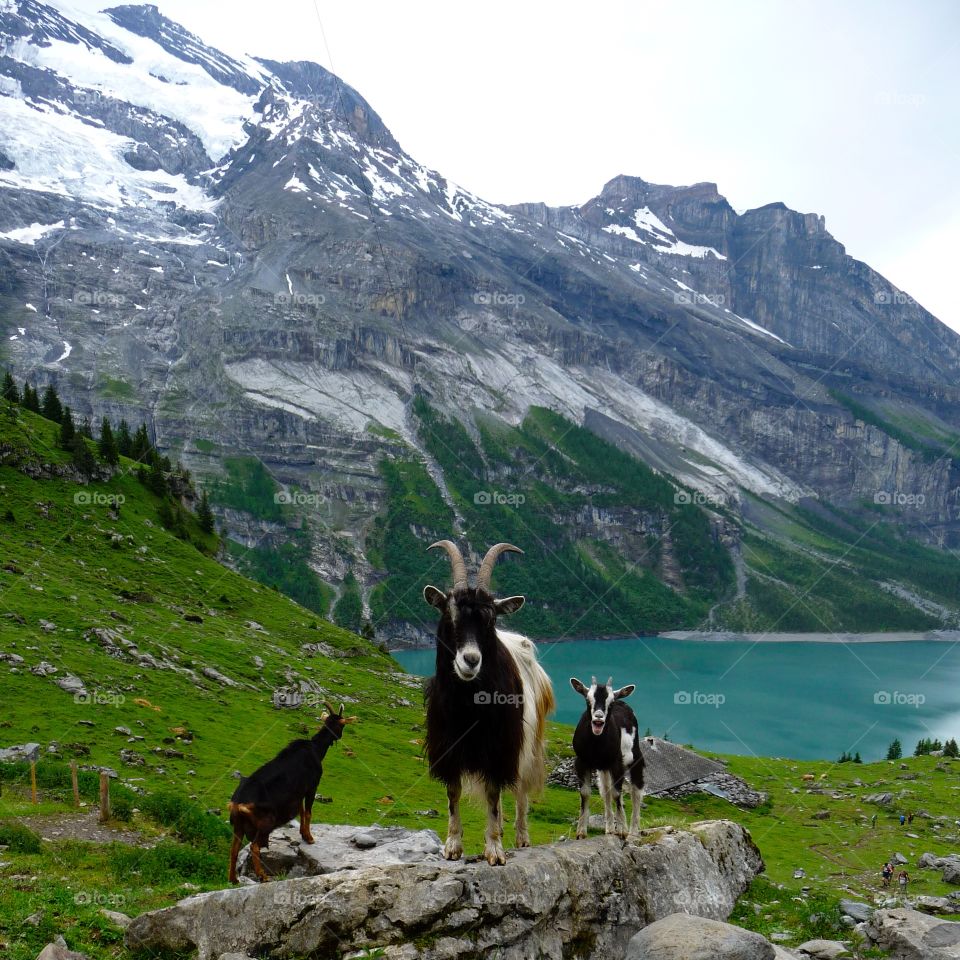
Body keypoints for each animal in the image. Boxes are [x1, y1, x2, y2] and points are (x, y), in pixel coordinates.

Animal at [227, 703, 356, 883]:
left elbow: (301, 811)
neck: (316, 749)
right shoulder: (312, 787)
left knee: (234, 849)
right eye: (342, 725)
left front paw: (303, 834)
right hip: (266, 822)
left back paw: (234, 879)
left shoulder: (298, 793)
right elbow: (308, 812)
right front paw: (309, 838)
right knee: (254, 846)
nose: (339, 736)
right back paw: (263, 876)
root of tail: (238, 804)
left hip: (238, 825)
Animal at [423, 540, 555, 865]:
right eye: (449, 616)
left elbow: (495, 795)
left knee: (520, 790)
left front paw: (494, 849)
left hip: (527, 745)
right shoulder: (449, 748)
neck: (469, 705)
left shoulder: (499, 747)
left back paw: (521, 837)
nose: (470, 660)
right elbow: (454, 794)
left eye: (490, 619)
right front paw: (452, 845)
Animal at [570, 676, 644, 839]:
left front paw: (622, 830)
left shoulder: (616, 762)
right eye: (588, 700)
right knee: (606, 791)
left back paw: (633, 831)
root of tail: (623, 702)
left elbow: (617, 793)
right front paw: (581, 832)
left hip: (635, 757)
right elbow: (585, 792)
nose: (598, 718)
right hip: (603, 768)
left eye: (610, 703)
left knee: (636, 791)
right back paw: (610, 829)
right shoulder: (581, 762)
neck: (596, 745)